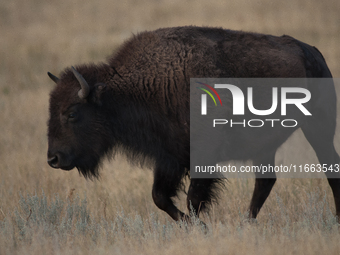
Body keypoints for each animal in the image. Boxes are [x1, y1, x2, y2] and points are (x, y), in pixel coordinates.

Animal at [47, 26, 340, 223]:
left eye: (72, 113)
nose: (53, 158)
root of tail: (313, 53)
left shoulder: (202, 157)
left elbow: (192, 199)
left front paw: (198, 227)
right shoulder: (169, 157)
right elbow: (160, 197)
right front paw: (192, 225)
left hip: (319, 128)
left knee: (330, 168)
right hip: (264, 147)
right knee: (265, 181)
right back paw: (246, 224)